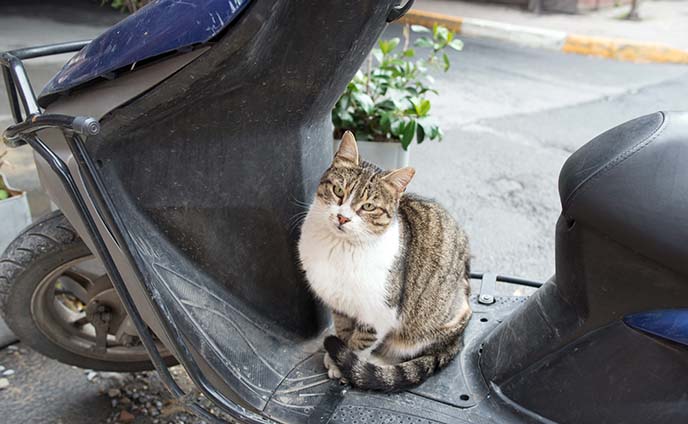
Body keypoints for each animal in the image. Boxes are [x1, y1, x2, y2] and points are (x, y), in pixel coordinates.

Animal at [298, 132, 470, 394]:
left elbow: (361, 341)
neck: (339, 248)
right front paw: (338, 353)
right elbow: (344, 330)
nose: (342, 217)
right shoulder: (340, 304)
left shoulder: (379, 312)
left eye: (368, 206)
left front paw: (346, 364)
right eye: (338, 190)